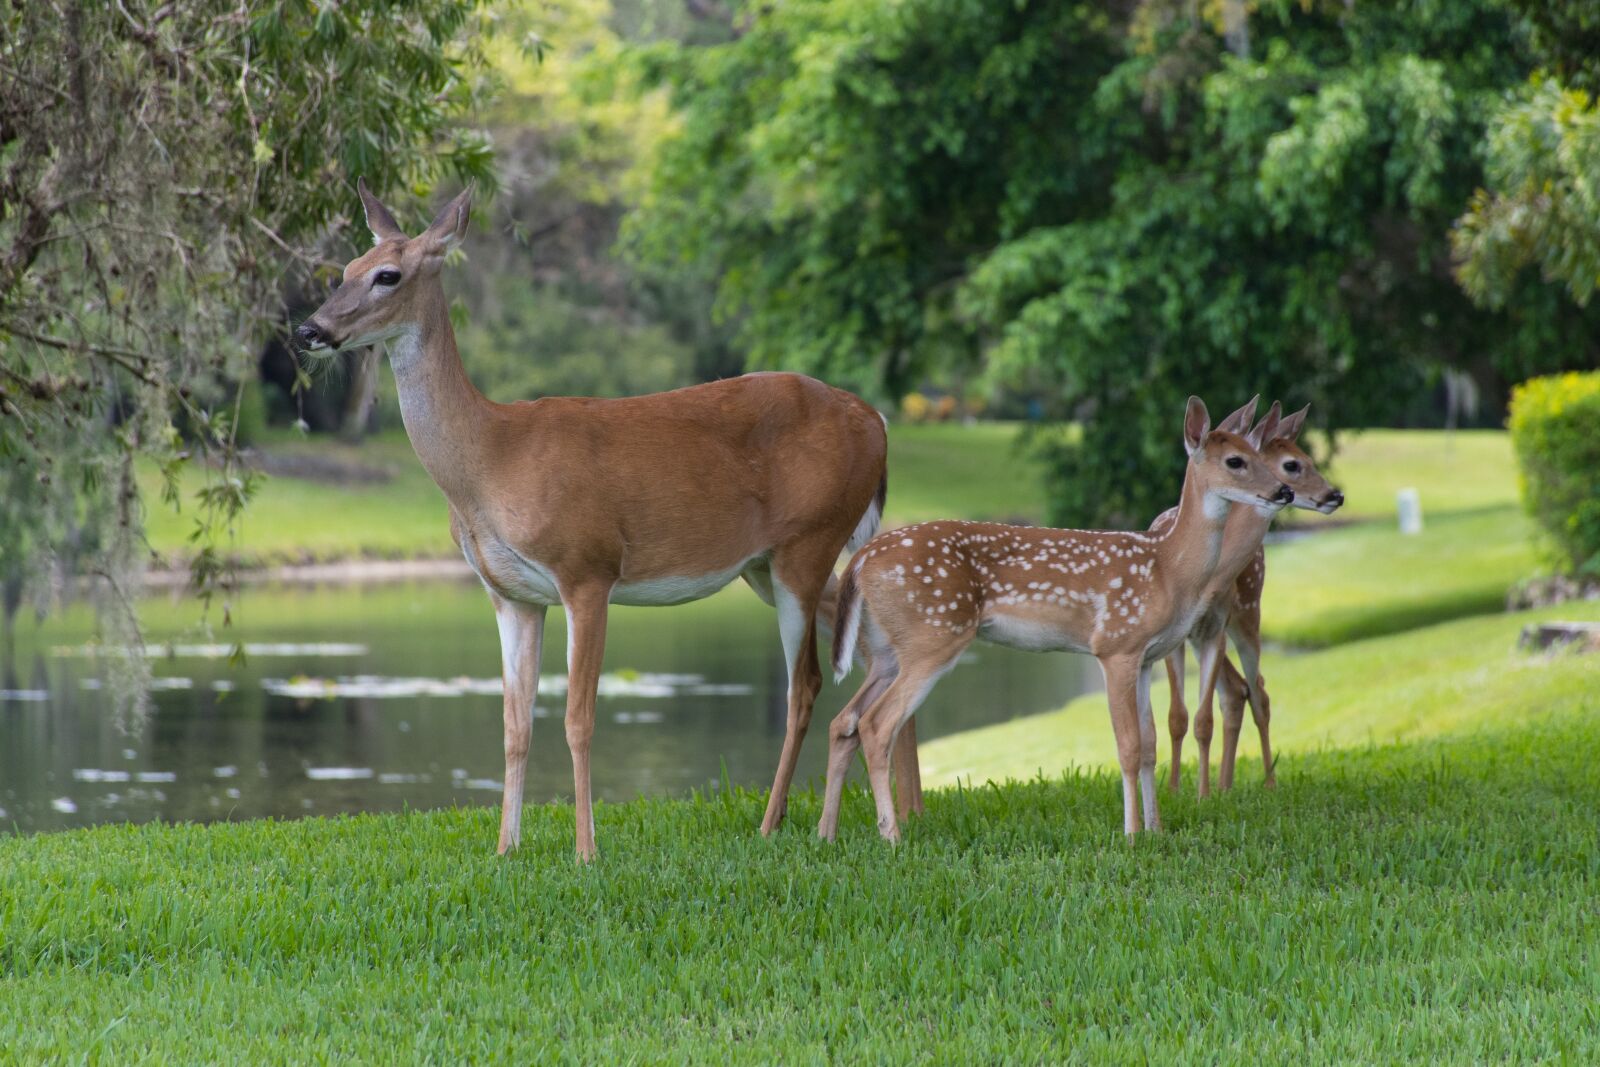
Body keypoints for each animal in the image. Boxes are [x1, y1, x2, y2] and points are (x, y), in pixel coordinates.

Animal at [295, 180, 888, 859]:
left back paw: (776, 823)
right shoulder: (511, 594)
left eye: (387, 275)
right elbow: (515, 724)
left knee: (805, 684)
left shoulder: (587, 567)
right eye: (346, 268)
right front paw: (505, 848)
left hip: (807, 542)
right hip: (765, 566)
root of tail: (877, 422)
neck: (491, 460)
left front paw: (585, 851)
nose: (309, 329)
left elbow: (578, 719)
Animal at [817, 396, 1292, 842]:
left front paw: (1155, 829)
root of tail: (859, 560)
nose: (1283, 491)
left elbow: (1150, 745)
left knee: (844, 720)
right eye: (1235, 461)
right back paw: (891, 836)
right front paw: (1132, 835)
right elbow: (1127, 746)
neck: (1168, 568)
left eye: (1257, 452)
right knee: (877, 724)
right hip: (933, 635)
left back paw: (827, 833)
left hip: (884, 650)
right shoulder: (1115, 645)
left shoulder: (1146, 658)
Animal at [1158, 402, 1344, 797]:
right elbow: (1178, 715)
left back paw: (1260, 783)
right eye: (1292, 464)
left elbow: (1204, 714)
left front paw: (1201, 792)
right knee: (1237, 690)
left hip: (1248, 615)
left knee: (1254, 690)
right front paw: (1175, 790)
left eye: (1309, 458)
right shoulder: (1177, 637)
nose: (1335, 495)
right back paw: (1225, 784)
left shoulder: (1218, 625)